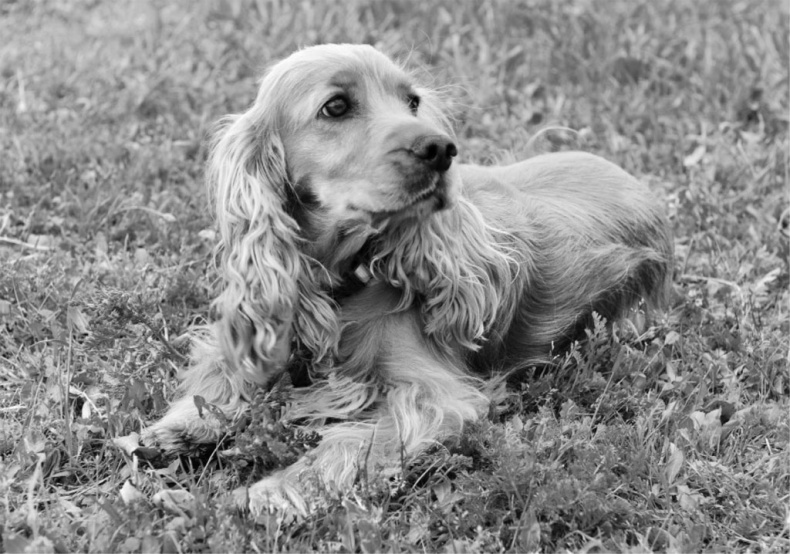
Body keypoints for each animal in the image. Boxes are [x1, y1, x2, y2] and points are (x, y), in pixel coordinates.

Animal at [144, 43, 676, 512]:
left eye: (413, 102)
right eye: (336, 106)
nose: (440, 148)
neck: (341, 279)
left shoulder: (432, 396)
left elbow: (351, 443)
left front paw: (274, 491)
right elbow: (222, 373)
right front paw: (180, 427)